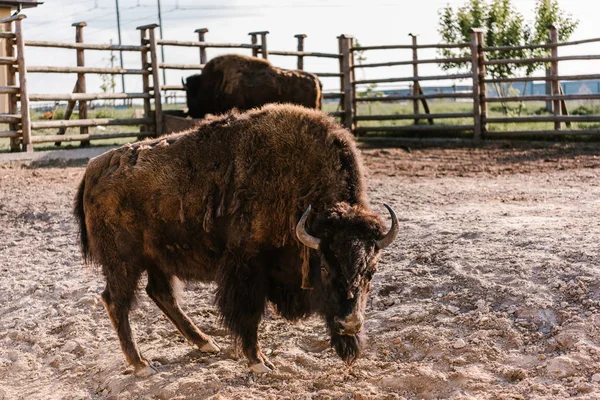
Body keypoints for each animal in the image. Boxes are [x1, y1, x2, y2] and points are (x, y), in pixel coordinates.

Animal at [75, 102, 398, 376]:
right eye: (325, 268)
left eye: (371, 271)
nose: (349, 324)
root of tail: (94, 169)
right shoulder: (246, 266)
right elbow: (248, 315)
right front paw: (259, 362)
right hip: (124, 262)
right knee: (117, 301)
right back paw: (142, 364)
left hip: (157, 258)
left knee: (161, 294)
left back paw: (206, 343)